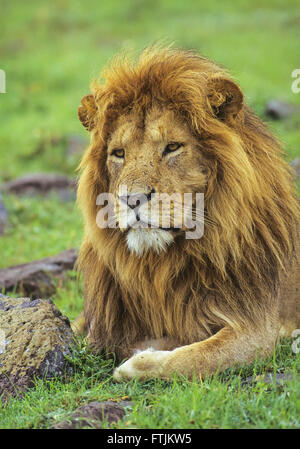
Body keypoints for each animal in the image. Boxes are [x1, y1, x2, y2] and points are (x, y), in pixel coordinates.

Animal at [75, 46, 300, 382]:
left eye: (172, 147)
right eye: (118, 154)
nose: (132, 199)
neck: (161, 267)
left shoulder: (261, 327)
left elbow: (197, 357)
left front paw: (137, 362)